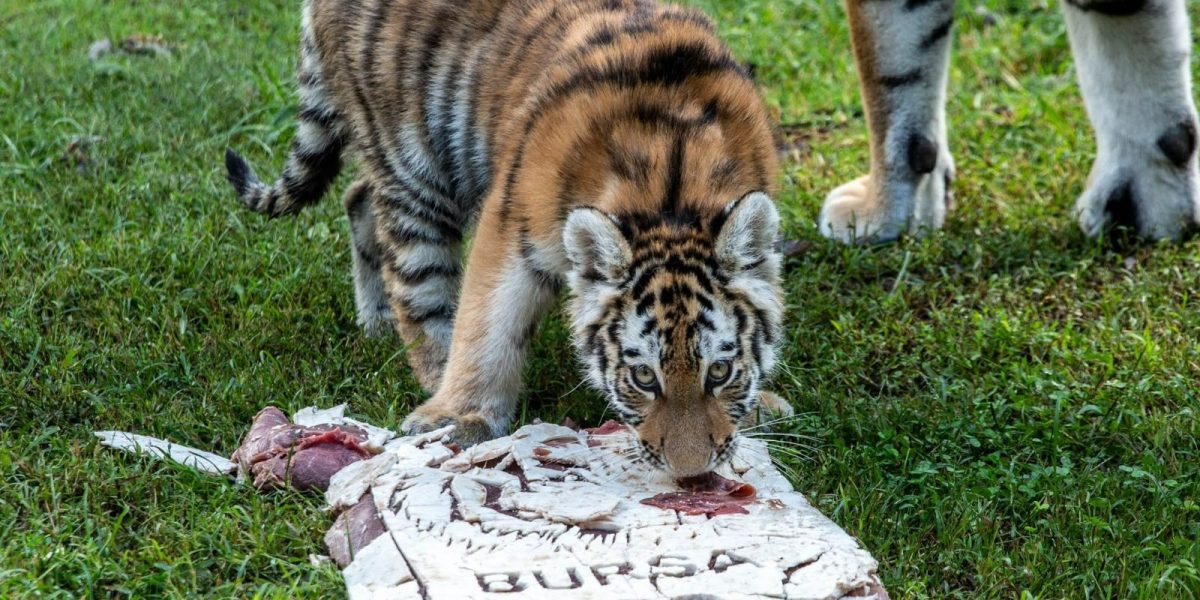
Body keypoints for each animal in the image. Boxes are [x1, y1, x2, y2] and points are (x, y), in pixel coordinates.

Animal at [224, 0, 791, 476]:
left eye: (720, 371)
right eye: (644, 377)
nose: (691, 473)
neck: (672, 194)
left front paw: (759, 405)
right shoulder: (512, 225)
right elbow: (487, 326)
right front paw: (462, 415)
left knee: (357, 196)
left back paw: (376, 323)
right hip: (412, 165)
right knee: (418, 286)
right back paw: (430, 370)